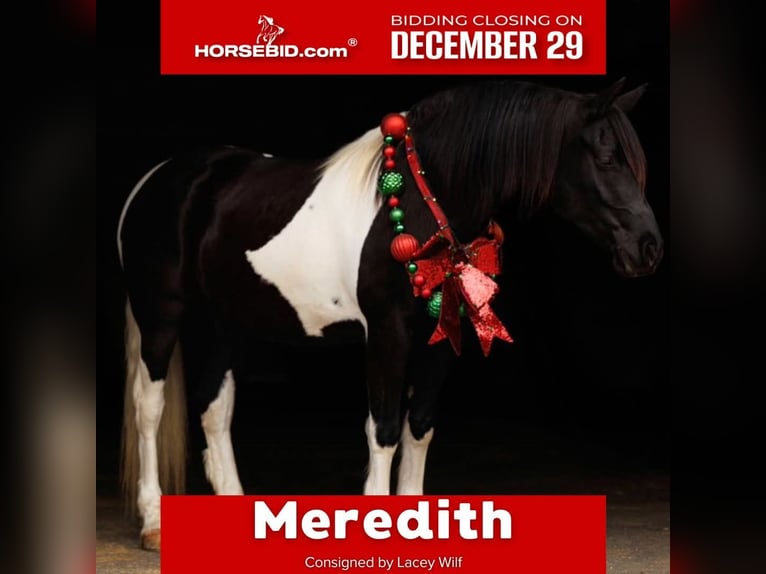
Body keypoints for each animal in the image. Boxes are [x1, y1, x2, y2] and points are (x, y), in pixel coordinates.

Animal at [116, 77, 663, 550]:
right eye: (606, 157)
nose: (648, 249)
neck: (420, 205)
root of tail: (157, 179)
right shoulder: (387, 334)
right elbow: (382, 431)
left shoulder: (440, 338)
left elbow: (419, 427)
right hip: (161, 316)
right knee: (150, 406)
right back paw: (153, 521)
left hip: (227, 322)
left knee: (215, 406)